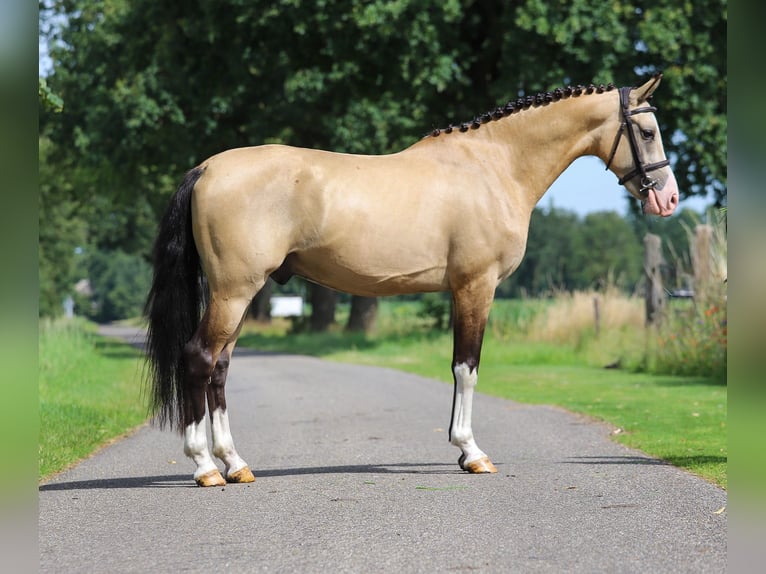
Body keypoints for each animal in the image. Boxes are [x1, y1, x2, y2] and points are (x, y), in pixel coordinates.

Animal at [146, 71, 684, 486]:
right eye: (649, 131)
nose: (669, 198)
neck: (493, 166)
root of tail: (206, 168)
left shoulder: (460, 290)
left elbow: (459, 365)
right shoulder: (476, 286)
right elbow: (467, 367)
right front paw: (471, 453)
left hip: (237, 295)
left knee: (219, 368)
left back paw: (235, 464)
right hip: (233, 292)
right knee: (198, 359)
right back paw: (204, 467)